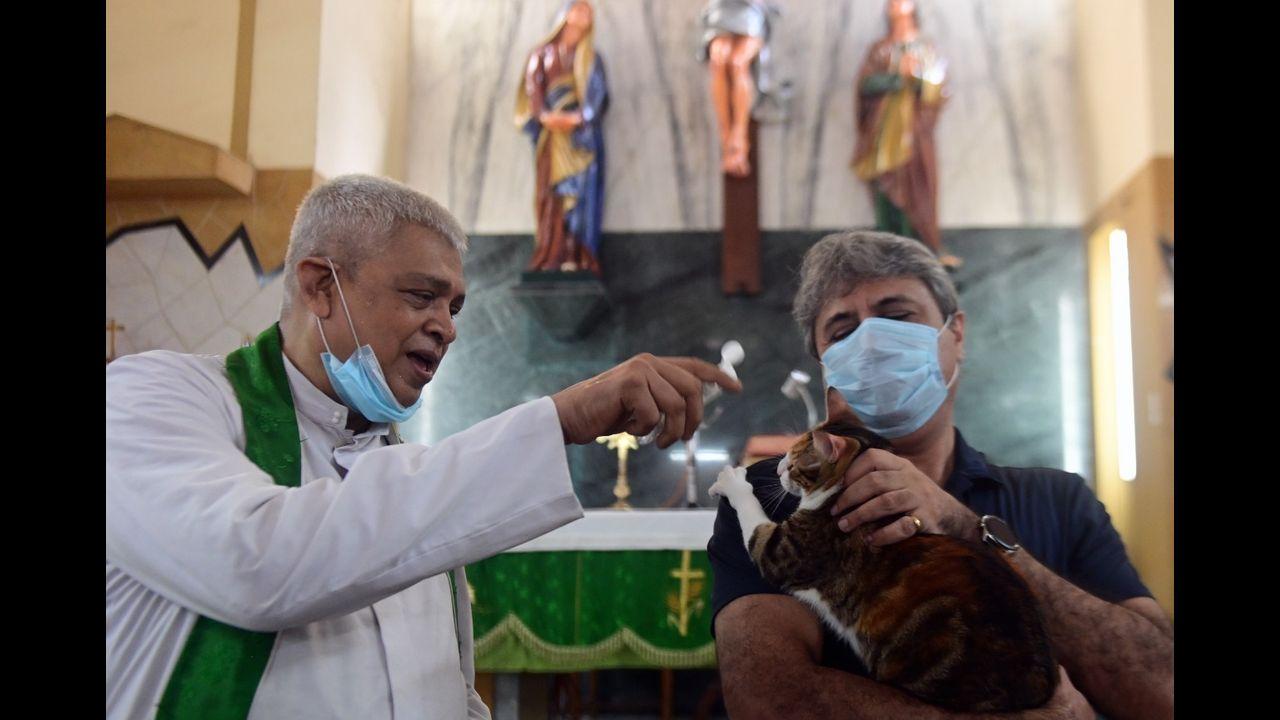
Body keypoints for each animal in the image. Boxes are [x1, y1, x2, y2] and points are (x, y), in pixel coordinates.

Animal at [711, 417, 1059, 707]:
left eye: (795, 461)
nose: (779, 467)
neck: (837, 495)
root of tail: (1039, 684)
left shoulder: (787, 552)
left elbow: (756, 527)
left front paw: (732, 482)